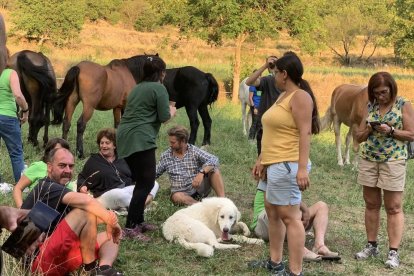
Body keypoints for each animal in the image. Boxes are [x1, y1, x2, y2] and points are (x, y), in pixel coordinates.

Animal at [54, 54, 220, 157]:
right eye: (161, 69)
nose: (161, 83)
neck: (128, 72)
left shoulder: (118, 107)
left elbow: (117, 126)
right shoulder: (125, 106)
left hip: (72, 102)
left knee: (66, 123)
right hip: (88, 106)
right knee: (80, 124)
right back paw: (80, 153)